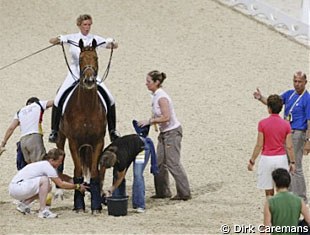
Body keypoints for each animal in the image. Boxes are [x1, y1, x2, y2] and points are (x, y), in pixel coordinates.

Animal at [56, 39, 106, 213]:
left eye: (96, 58)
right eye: (80, 59)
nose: (89, 81)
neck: (86, 108)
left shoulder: (98, 142)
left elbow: (95, 172)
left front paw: (96, 205)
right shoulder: (73, 142)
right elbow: (77, 170)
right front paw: (79, 204)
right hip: (61, 138)